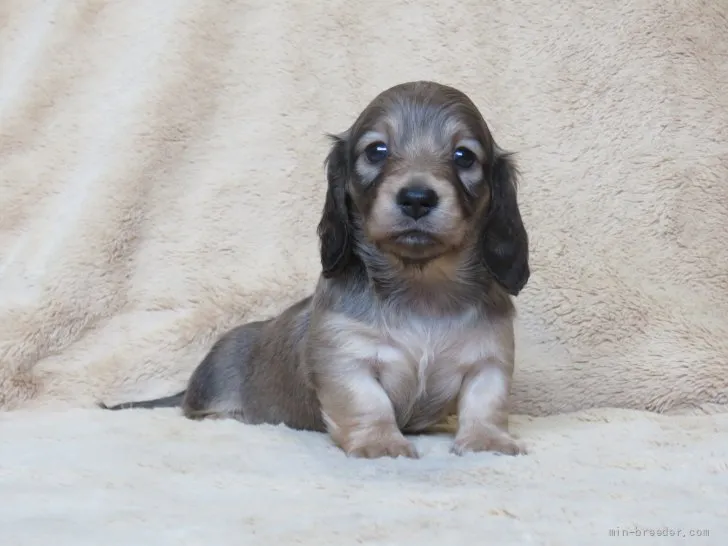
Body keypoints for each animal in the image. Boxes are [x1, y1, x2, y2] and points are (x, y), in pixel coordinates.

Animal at [102, 78, 532, 456]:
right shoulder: (345, 359)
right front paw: (381, 442)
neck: (422, 289)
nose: (416, 198)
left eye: (464, 156)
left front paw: (487, 440)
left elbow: (485, 402)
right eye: (376, 150)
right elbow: (368, 403)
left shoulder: (489, 359)